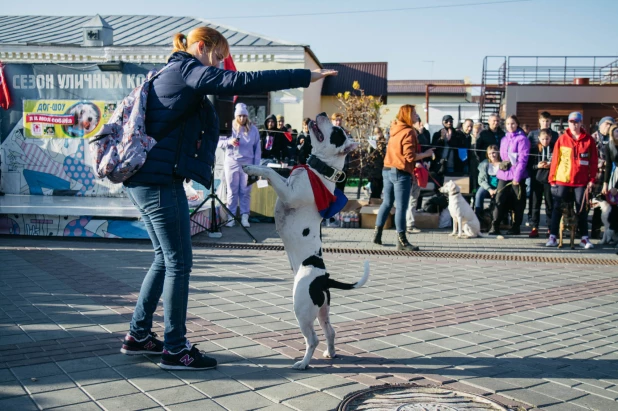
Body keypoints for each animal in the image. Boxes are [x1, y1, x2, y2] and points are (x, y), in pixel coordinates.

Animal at [241, 112, 368, 370]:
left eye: (337, 131)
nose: (322, 114)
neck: (318, 172)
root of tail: (323, 278)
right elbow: (270, 169)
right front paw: (252, 168)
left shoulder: (288, 193)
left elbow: (272, 173)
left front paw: (252, 167)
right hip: (321, 311)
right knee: (330, 331)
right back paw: (330, 353)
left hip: (301, 307)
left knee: (313, 339)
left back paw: (303, 363)